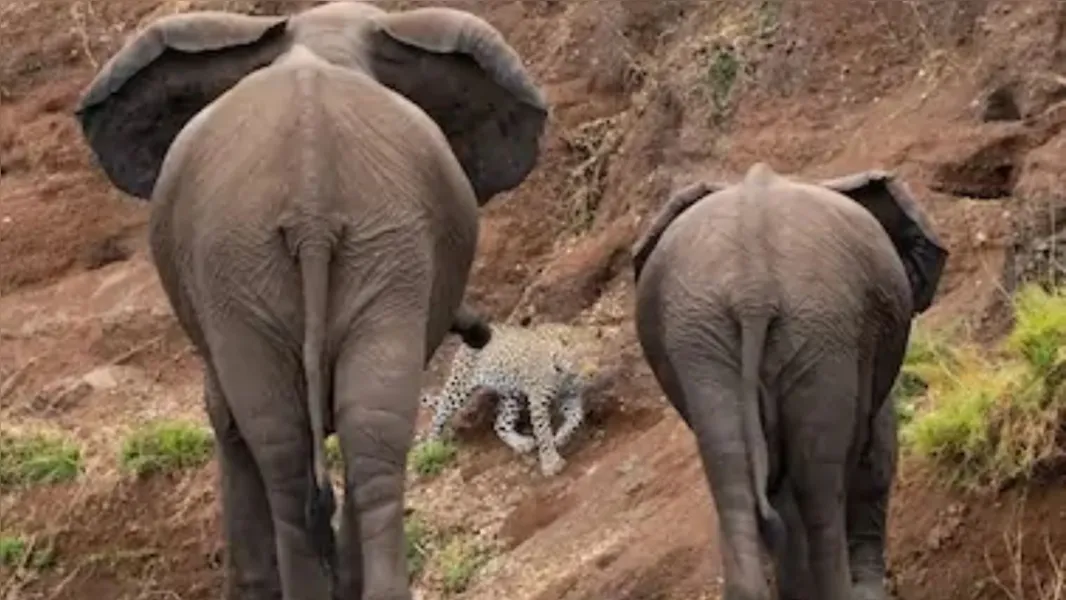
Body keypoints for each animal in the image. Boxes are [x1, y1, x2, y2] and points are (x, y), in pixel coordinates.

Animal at [73, 2, 550, 596]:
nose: (483, 332)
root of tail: (312, 205)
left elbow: (230, 419)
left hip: (285, 260)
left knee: (291, 446)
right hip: (339, 254)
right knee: (363, 435)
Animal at [417, 321, 605, 477]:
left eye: (596, 355)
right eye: (579, 359)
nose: (592, 373)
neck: (564, 375)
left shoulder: (570, 397)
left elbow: (576, 418)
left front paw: (561, 437)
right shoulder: (538, 401)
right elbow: (543, 432)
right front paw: (551, 462)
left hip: (511, 396)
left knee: (500, 424)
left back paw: (520, 443)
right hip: (458, 388)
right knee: (439, 414)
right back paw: (432, 448)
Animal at [626, 161, 946, 600]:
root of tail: (752, 287)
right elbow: (876, 453)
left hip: (702, 332)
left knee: (735, 478)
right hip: (821, 327)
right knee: (819, 488)